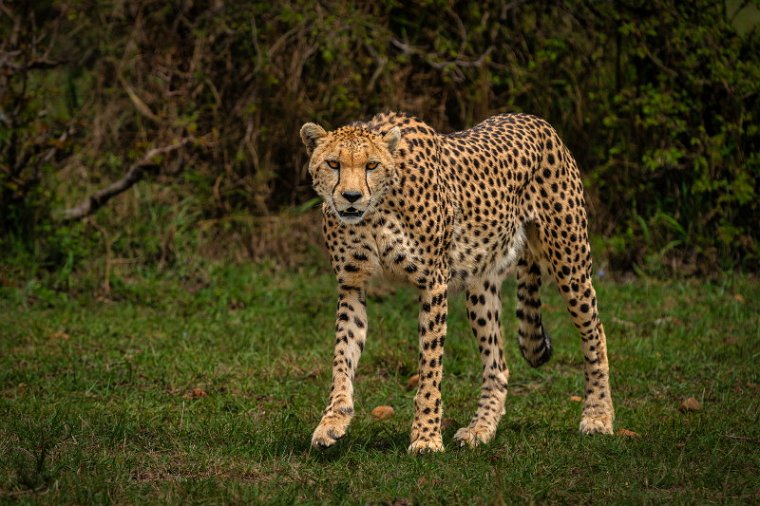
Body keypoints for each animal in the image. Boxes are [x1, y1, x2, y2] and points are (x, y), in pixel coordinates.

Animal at [300, 112, 616, 452]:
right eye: (333, 164)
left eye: (371, 165)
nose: (351, 197)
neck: (375, 213)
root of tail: (531, 118)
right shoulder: (351, 286)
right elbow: (342, 357)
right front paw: (332, 421)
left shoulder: (433, 284)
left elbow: (430, 367)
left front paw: (426, 437)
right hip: (480, 286)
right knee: (497, 365)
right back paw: (481, 428)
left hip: (570, 263)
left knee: (595, 334)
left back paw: (598, 416)